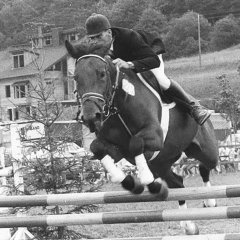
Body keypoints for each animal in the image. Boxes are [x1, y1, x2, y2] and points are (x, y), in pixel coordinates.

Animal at [64, 39, 218, 234]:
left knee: (206, 166)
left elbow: (136, 143)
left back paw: (209, 201)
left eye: (101, 74)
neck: (119, 104)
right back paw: (188, 224)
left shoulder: (155, 136)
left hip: (206, 150)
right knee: (178, 182)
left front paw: (143, 179)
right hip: (161, 163)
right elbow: (97, 148)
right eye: (76, 78)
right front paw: (129, 182)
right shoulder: (116, 150)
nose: (91, 117)